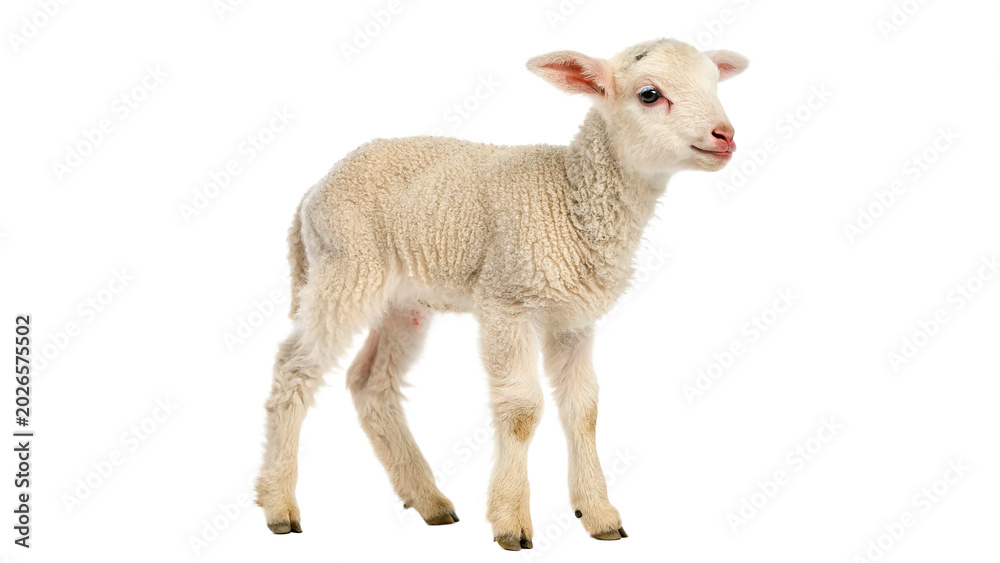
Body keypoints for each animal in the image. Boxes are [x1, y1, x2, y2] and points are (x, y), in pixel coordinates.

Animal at [254, 37, 748, 550]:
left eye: (715, 83)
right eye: (650, 95)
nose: (725, 135)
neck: (568, 195)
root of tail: (312, 191)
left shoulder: (575, 319)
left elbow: (585, 409)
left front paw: (598, 514)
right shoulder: (507, 302)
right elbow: (522, 410)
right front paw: (511, 520)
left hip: (402, 300)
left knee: (371, 383)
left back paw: (429, 501)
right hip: (345, 267)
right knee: (293, 370)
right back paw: (279, 505)